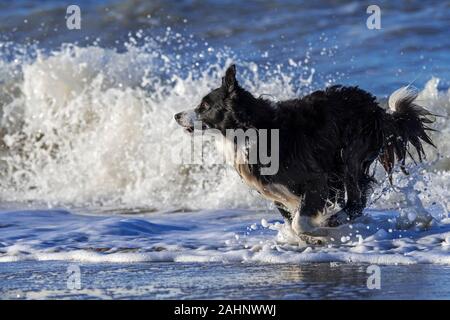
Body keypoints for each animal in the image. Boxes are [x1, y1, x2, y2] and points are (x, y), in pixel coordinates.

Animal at [174, 63, 434, 236]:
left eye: (205, 106)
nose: (176, 115)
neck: (248, 130)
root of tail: (377, 109)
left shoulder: (315, 179)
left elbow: (300, 221)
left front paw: (317, 230)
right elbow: (291, 220)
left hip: (351, 154)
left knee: (356, 199)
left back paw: (336, 219)